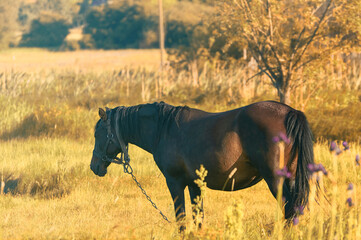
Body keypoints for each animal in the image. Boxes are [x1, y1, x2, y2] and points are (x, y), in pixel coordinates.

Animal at [89, 101, 312, 227]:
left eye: (98, 132)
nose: (94, 166)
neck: (164, 128)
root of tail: (290, 112)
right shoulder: (195, 185)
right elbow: (198, 218)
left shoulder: (175, 183)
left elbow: (181, 218)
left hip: (276, 181)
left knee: (289, 211)